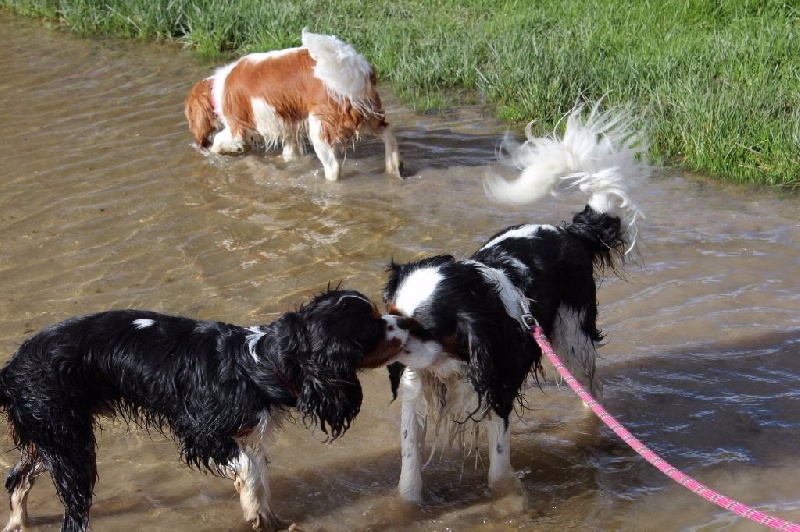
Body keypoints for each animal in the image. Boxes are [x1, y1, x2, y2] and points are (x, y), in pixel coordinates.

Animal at [1, 288, 412, 532]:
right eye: (375, 327)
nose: (406, 320)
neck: (260, 364)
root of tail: (11, 368)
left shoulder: (248, 434)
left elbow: (259, 474)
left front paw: (266, 515)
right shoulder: (201, 433)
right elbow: (248, 471)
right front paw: (253, 512)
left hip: (50, 437)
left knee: (17, 478)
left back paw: (18, 523)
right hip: (70, 444)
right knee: (71, 509)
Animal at [185, 30, 404, 182]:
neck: (219, 86)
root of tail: (354, 65)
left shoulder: (237, 127)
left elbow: (219, 140)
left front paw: (212, 152)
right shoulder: (287, 126)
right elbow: (289, 152)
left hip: (322, 127)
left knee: (333, 167)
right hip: (363, 113)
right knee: (388, 131)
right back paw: (393, 166)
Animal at [382, 105, 648, 502]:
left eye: (422, 329)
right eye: (392, 314)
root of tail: (569, 231)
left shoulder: (499, 385)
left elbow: (497, 470)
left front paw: (509, 503)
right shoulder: (418, 390)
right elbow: (409, 474)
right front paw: (408, 507)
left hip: (572, 340)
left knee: (592, 390)